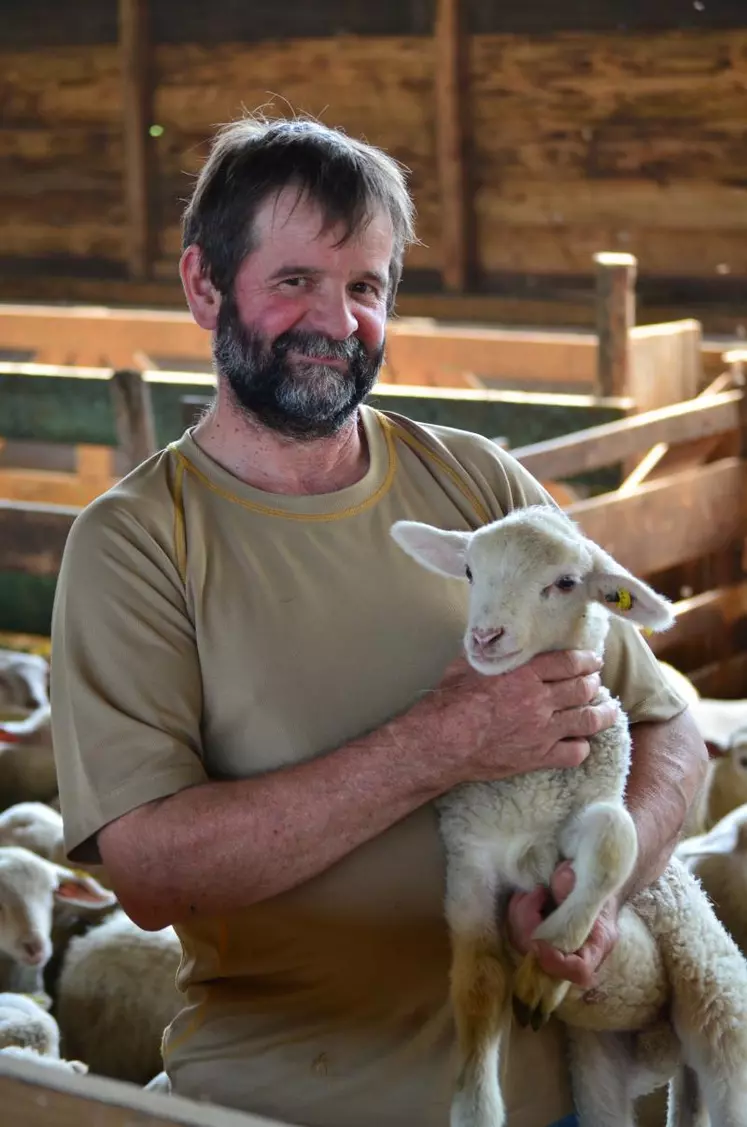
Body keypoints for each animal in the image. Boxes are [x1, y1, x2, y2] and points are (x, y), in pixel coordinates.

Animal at [387, 509, 747, 1127]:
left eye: (564, 583)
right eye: (468, 569)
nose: (485, 638)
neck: (524, 797)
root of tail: (670, 1056)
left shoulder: (583, 817)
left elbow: (616, 840)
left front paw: (550, 963)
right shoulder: (470, 866)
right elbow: (478, 988)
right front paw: (476, 1105)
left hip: (721, 1014)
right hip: (598, 1068)